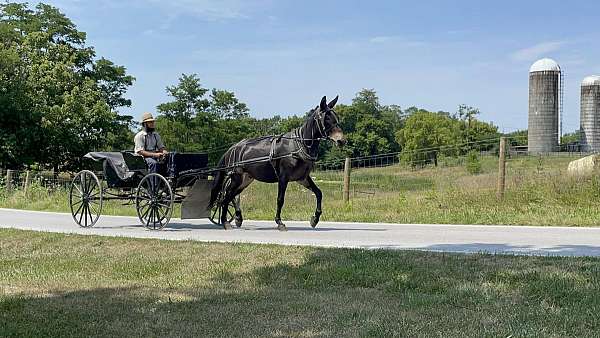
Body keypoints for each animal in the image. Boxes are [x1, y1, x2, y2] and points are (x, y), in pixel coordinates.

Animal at [209, 96, 344, 231]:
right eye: (326, 119)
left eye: (336, 117)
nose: (342, 140)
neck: (298, 145)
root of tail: (232, 148)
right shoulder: (283, 178)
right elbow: (280, 199)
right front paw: (279, 222)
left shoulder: (302, 178)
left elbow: (319, 193)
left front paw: (315, 219)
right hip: (236, 178)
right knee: (226, 196)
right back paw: (225, 221)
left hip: (245, 180)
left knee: (232, 196)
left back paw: (237, 218)